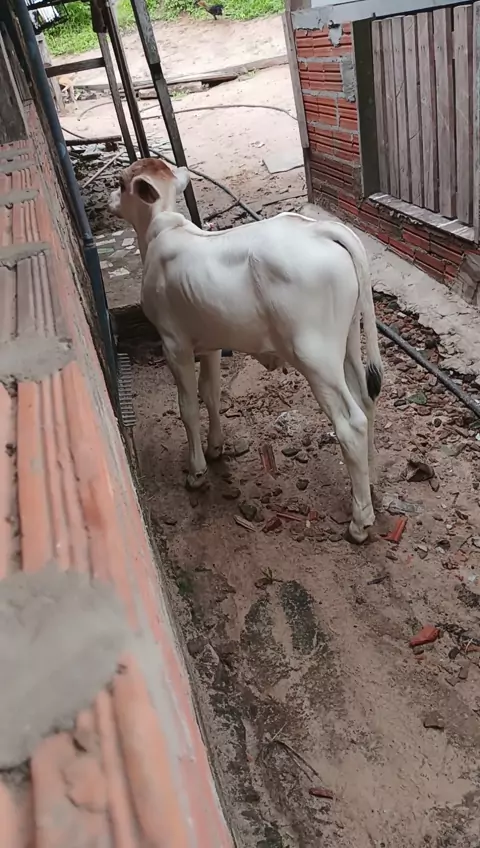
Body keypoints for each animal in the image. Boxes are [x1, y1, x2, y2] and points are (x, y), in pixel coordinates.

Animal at [109, 159, 383, 543]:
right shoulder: (209, 342)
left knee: (351, 422)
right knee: (366, 399)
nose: (109, 197)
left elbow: (187, 406)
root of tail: (323, 230)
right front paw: (215, 447)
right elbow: (210, 393)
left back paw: (360, 521)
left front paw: (196, 471)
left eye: (121, 184)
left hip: (316, 359)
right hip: (346, 346)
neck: (160, 230)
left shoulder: (174, 343)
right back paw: (368, 483)